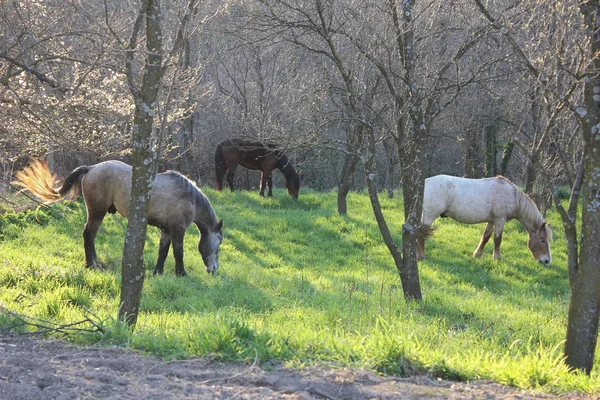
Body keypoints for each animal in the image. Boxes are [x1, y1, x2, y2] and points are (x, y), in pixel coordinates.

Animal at [14, 159, 225, 276]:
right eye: (220, 243)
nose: (214, 269)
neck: (188, 196)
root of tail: (92, 168)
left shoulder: (166, 230)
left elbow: (163, 252)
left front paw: (158, 272)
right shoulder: (178, 229)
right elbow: (178, 252)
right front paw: (181, 273)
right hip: (97, 213)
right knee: (88, 236)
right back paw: (93, 265)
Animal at [414, 174, 552, 262]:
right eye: (543, 240)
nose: (547, 261)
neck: (512, 196)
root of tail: (425, 182)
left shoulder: (491, 221)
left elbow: (485, 237)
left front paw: (477, 255)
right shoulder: (500, 220)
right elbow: (497, 240)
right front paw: (497, 258)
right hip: (429, 216)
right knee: (421, 234)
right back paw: (421, 256)